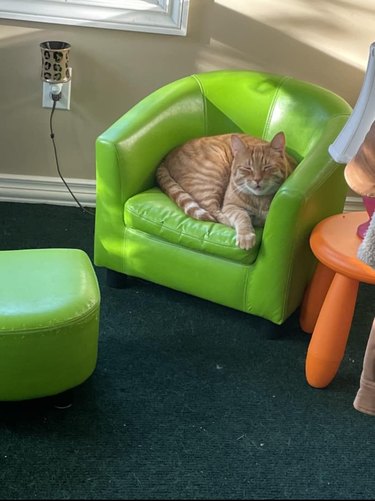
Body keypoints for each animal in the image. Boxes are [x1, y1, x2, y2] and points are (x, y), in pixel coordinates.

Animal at [156, 132, 296, 250]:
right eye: (247, 168)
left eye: (267, 167)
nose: (257, 179)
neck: (259, 200)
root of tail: (166, 158)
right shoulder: (230, 206)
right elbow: (242, 217)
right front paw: (246, 235)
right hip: (211, 181)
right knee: (215, 213)